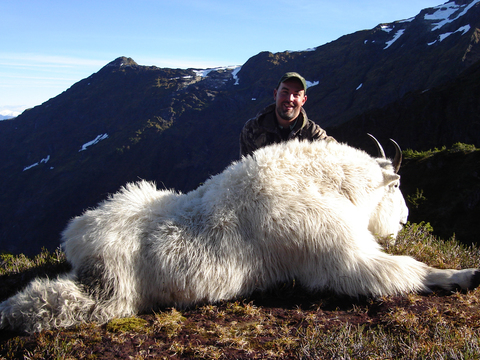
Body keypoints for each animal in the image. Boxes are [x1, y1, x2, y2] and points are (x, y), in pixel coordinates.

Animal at [0, 136, 480, 334]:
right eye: (396, 187)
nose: (404, 221)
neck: (326, 182)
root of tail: (76, 237)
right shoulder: (344, 257)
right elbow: (404, 271)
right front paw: (465, 274)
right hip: (109, 293)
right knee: (48, 303)